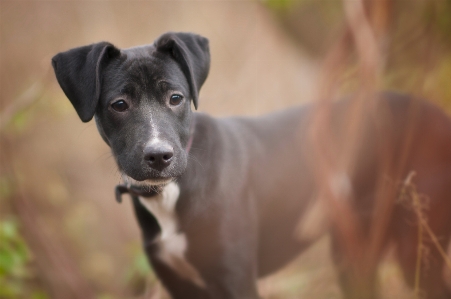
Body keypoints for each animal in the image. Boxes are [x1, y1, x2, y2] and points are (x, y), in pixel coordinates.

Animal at [51, 31, 451, 298]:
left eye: (176, 98)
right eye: (119, 104)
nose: (159, 156)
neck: (172, 194)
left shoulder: (236, 279)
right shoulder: (180, 284)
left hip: (419, 246)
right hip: (355, 252)